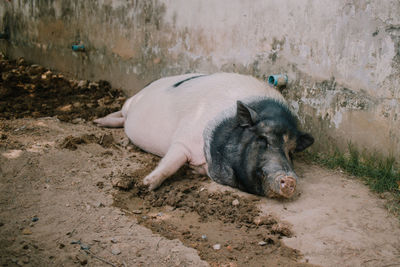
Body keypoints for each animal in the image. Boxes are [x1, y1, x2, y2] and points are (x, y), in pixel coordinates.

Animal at [95, 73, 314, 199]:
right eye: (262, 139)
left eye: (291, 152)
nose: (290, 179)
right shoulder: (184, 139)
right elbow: (171, 162)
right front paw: (147, 185)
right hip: (130, 102)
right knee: (120, 114)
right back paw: (98, 122)